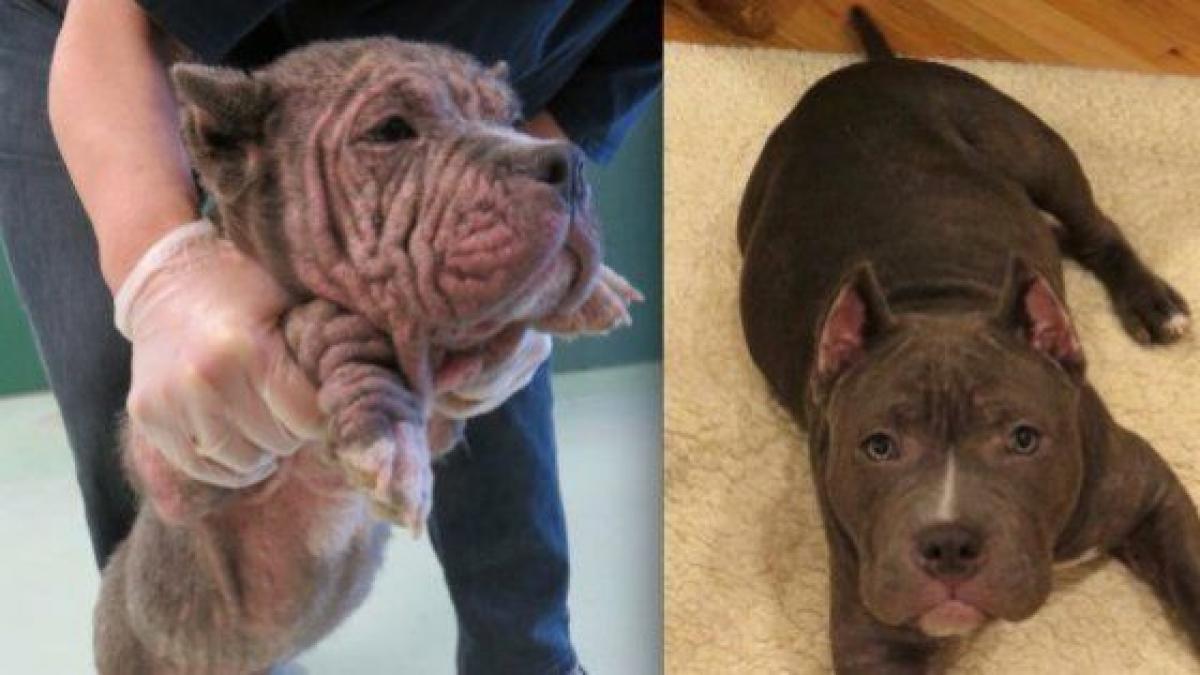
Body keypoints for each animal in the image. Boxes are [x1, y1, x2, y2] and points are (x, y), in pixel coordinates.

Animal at [94, 38, 643, 672]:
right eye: (390, 130)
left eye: (510, 119)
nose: (567, 162)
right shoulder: (185, 466)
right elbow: (331, 323)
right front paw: (385, 430)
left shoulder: (444, 422)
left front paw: (598, 290)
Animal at [739, 6, 1200, 672]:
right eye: (878, 446)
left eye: (1025, 439)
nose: (949, 542)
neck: (939, 305)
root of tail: (864, 74)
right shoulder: (874, 635)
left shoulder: (1149, 490)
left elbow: (1192, 577)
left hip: (1034, 150)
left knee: (1093, 227)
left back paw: (1153, 303)